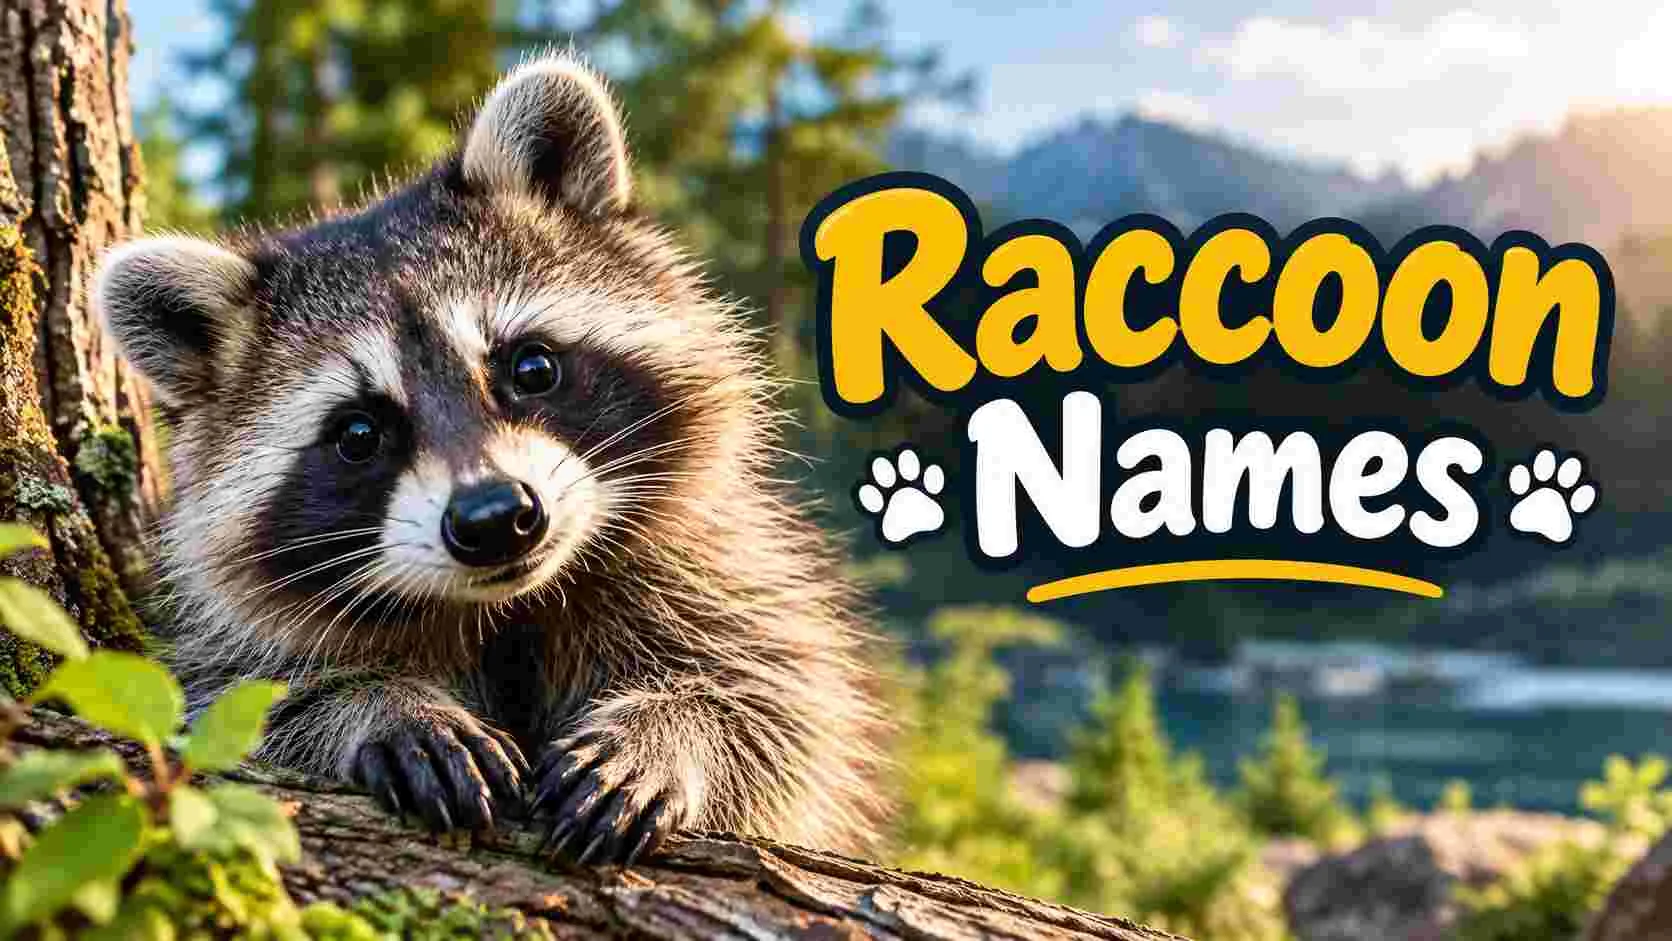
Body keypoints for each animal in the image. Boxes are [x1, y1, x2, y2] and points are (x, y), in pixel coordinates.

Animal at [94, 55, 887, 865]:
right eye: (358, 434)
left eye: (531, 367)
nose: (496, 518)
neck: (509, 604)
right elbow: (239, 701)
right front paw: (377, 703)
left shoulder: (717, 569)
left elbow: (780, 703)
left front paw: (671, 730)